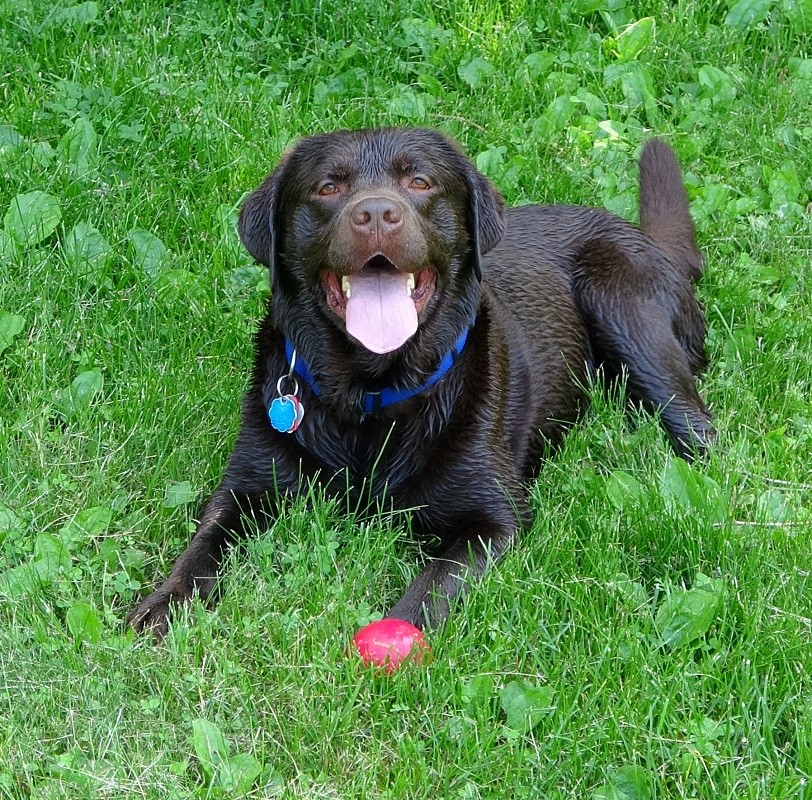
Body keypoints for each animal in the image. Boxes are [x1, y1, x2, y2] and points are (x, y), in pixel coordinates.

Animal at [127, 126, 712, 636]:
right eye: (328, 187)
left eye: (420, 182)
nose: (376, 215)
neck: (371, 396)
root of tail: (647, 239)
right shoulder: (245, 487)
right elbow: (203, 545)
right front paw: (164, 602)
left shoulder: (494, 519)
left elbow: (435, 582)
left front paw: (398, 637)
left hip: (624, 310)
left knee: (695, 423)